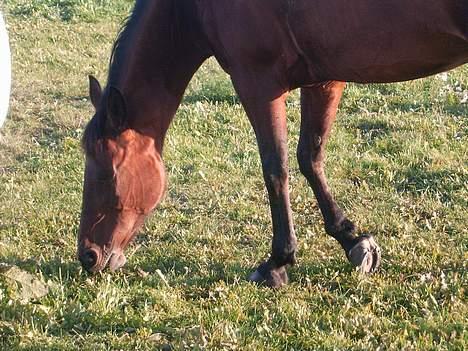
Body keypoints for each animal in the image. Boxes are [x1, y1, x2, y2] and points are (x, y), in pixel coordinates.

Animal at [77, 0, 468, 288]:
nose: (88, 256)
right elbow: (310, 157)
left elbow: (275, 168)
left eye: (107, 172)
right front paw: (352, 240)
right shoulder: (323, 79)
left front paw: (277, 262)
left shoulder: (258, 82)